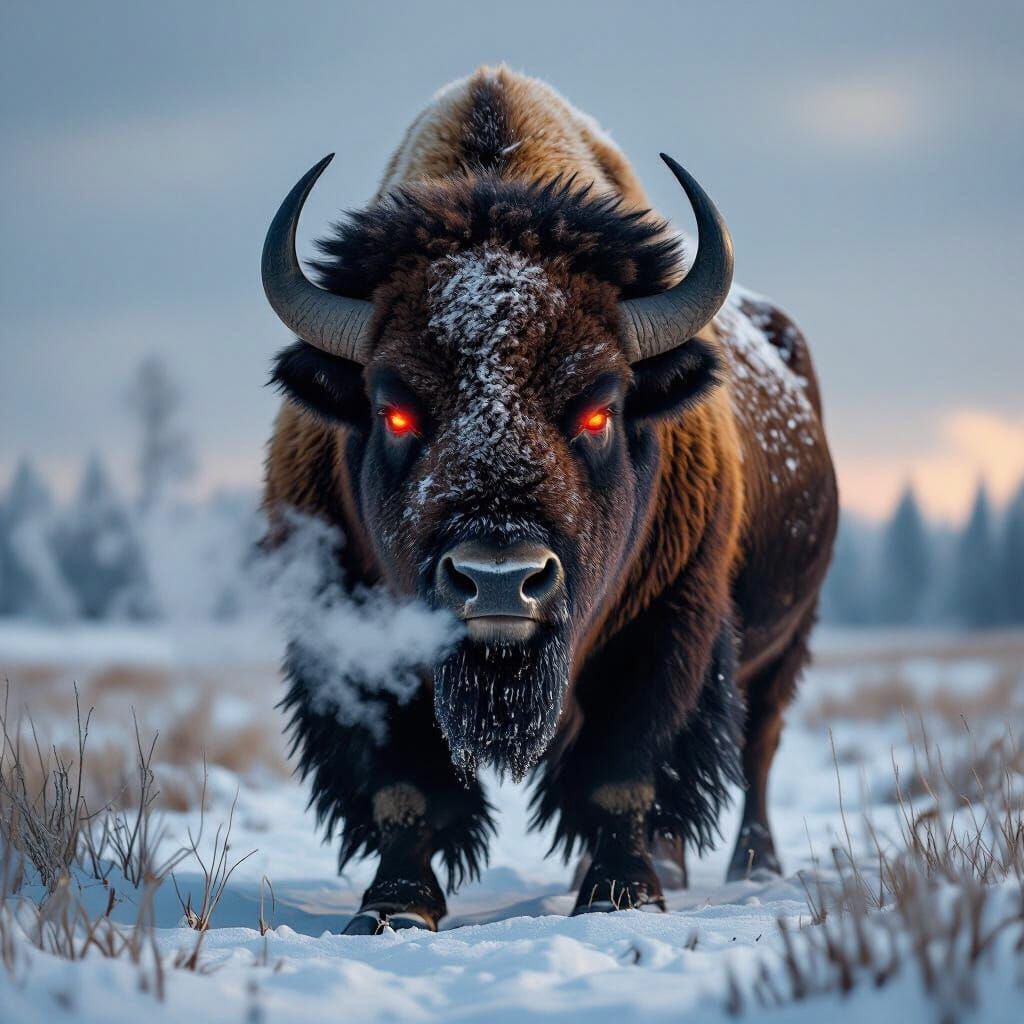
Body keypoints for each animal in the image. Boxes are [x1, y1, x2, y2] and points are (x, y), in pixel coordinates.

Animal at [262, 66, 837, 933]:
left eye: (599, 407)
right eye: (394, 409)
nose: (500, 581)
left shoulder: (665, 626)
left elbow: (622, 772)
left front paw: (620, 894)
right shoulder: (355, 629)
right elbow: (403, 781)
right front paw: (395, 906)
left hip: (784, 645)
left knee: (758, 747)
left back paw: (751, 865)